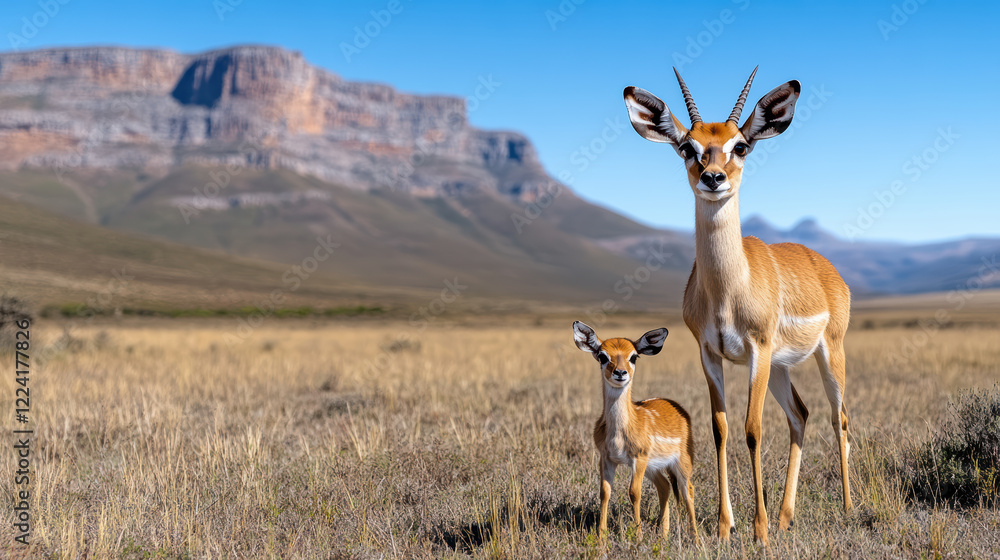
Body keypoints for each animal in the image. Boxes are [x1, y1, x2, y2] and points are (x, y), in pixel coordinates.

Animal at [572, 321, 698, 543]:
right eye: (602, 356)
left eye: (633, 356)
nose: (620, 373)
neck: (619, 433)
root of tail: (678, 408)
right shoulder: (607, 458)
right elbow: (605, 491)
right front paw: (601, 535)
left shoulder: (638, 458)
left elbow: (634, 493)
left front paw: (638, 536)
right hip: (653, 467)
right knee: (665, 486)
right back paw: (663, 535)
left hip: (681, 462)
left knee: (687, 489)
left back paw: (696, 539)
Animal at [622, 68, 852, 545]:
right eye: (688, 147)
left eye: (740, 145)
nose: (713, 178)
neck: (729, 290)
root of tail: (828, 269)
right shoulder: (711, 354)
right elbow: (720, 429)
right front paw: (727, 526)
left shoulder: (757, 352)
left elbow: (752, 429)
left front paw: (758, 529)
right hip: (781, 368)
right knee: (800, 415)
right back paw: (785, 517)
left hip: (827, 353)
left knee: (839, 417)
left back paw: (847, 508)